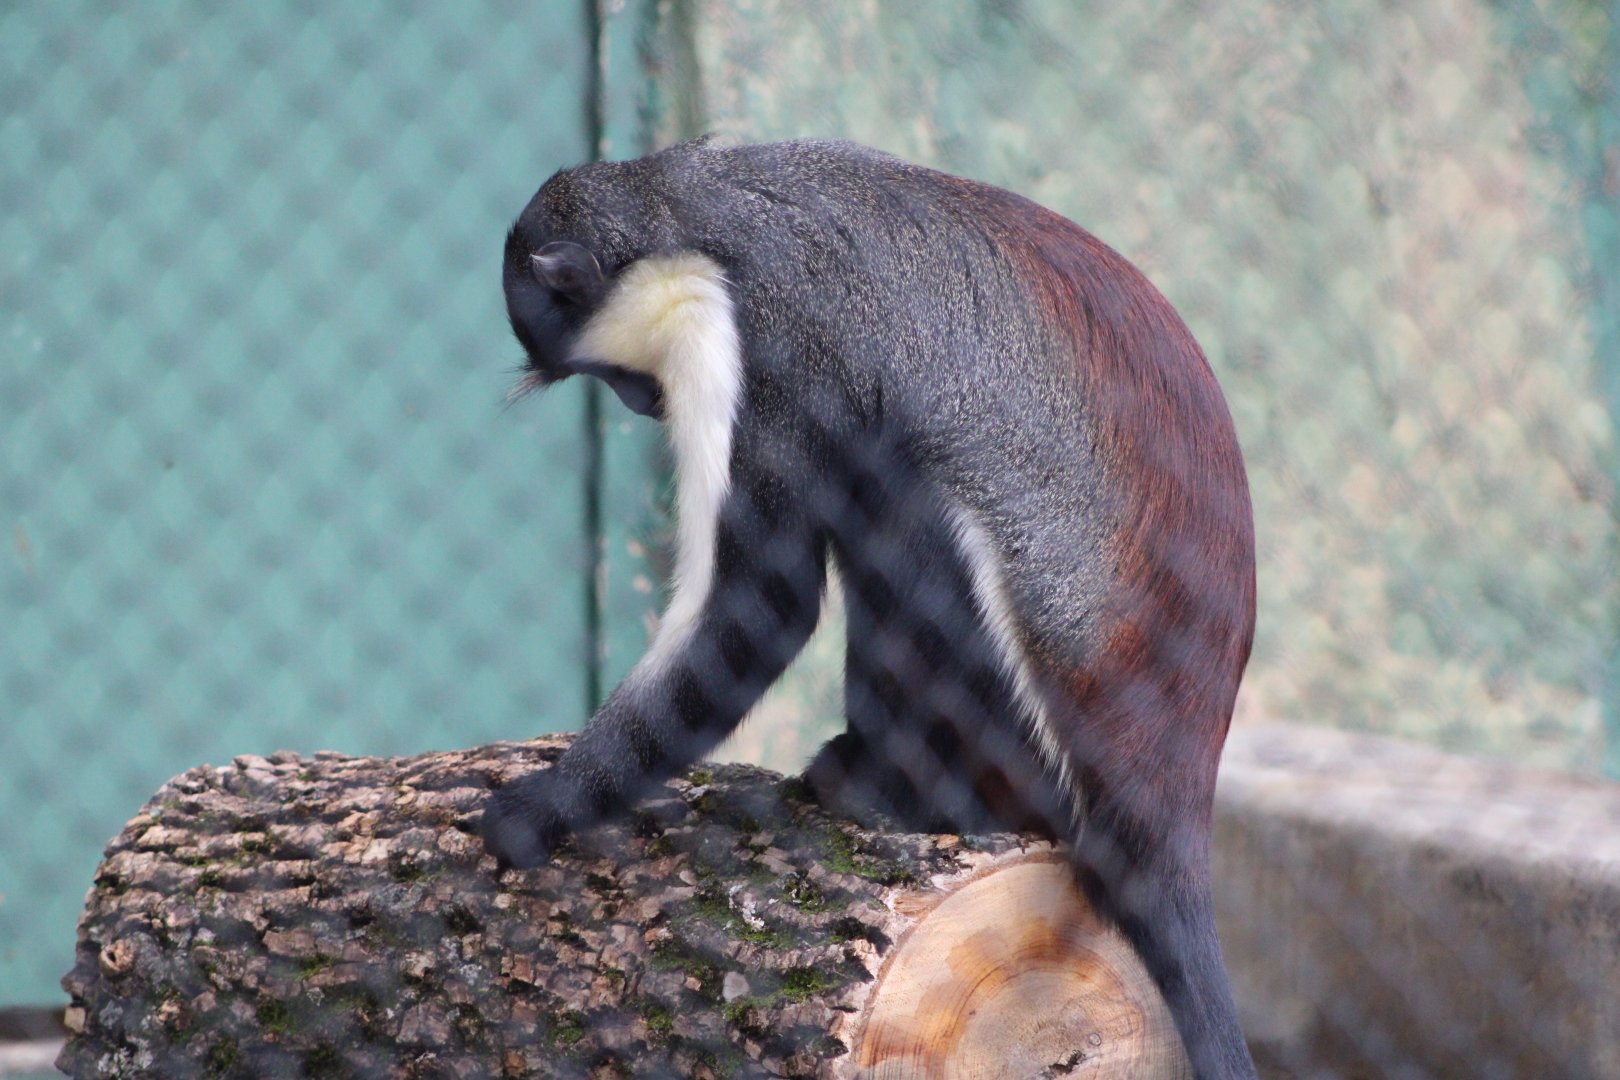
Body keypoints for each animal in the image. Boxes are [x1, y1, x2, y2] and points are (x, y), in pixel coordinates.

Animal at [482, 138, 1258, 1080]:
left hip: (1025, 746)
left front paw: (538, 811)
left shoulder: (760, 342)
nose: (640, 401)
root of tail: (1169, 808)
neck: (687, 209)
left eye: (614, 371)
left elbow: (758, 608)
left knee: (901, 483)